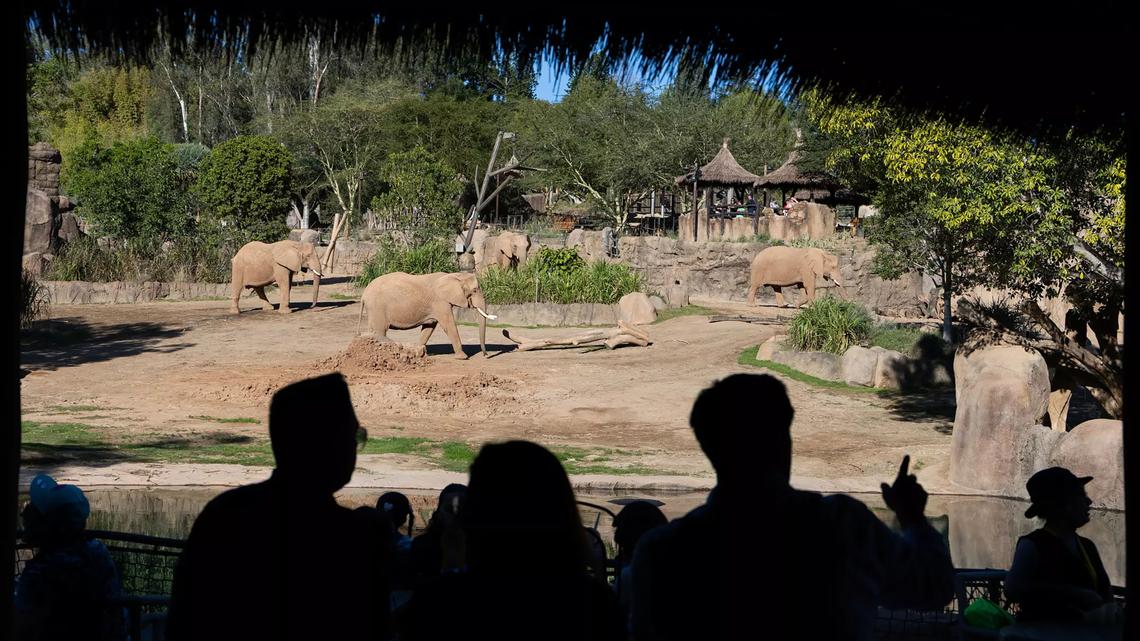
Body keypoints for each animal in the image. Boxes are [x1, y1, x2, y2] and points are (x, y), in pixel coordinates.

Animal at [356, 271, 496, 359]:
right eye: (474, 290)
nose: (486, 355)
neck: (454, 275)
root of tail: (363, 294)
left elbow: (429, 327)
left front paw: (419, 354)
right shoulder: (440, 302)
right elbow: (449, 324)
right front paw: (463, 357)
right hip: (377, 308)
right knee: (380, 330)